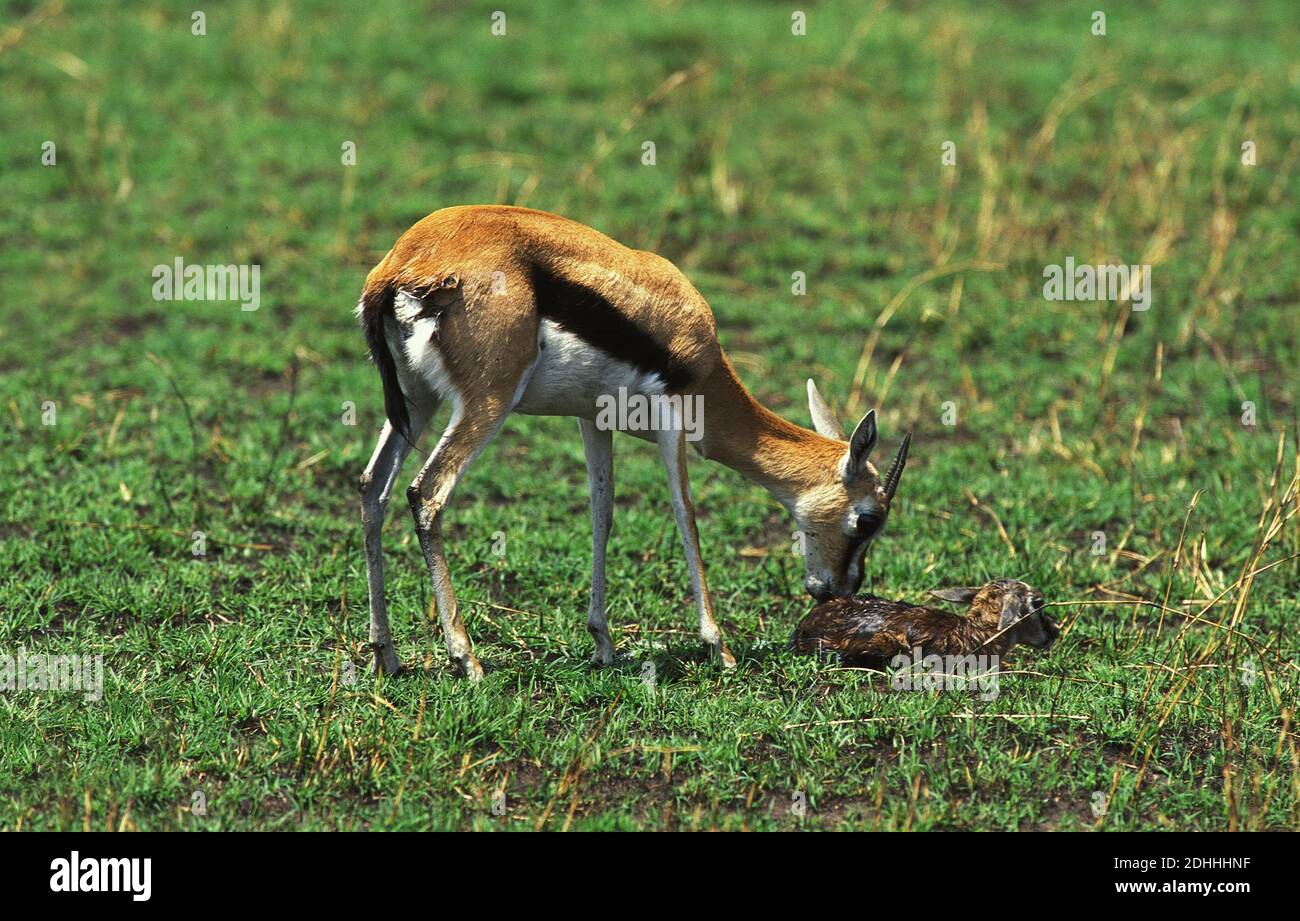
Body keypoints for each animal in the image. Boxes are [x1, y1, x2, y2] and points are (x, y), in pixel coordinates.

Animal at [356, 205, 911, 679]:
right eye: (869, 519)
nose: (840, 591)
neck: (695, 348)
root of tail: (405, 264)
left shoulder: (591, 420)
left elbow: (602, 513)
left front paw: (602, 643)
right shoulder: (673, 424)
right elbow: (686, 516)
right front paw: (720, 647)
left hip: (417, 400)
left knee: (372, 488)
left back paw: (387, 655)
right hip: (485, 403)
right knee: (426, 493)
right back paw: (466, 659)